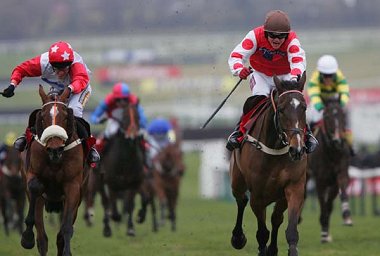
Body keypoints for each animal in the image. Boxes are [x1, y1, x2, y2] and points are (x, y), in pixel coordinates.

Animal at [20, 85, 87, 255]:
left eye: (65, 117)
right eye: (43, 117)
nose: (55, 149)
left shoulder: (73, 186)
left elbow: (66, 228)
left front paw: (67, 251)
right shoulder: (32, 176)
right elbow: (35, 186)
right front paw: (27, 237)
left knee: (59, 235)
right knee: (42, 238)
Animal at [98, 101, 145, 237]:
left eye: (138, 117)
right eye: (124, 118)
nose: (132, 138)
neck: (126, 160)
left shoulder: (134, 183)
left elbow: (130, 205)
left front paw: (130, 228)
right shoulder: (112, 184)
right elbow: (112, 206)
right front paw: (115, 218)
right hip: (99, 182)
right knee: (105, 202)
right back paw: (107, 228)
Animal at [229, 72, 308, 256]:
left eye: (304, 108)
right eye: (281, 109)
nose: (297, 149)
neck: (276, 147)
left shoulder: (294, 187)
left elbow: (290, 230)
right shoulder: (258, 195)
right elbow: (262, 233)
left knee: (276, 218)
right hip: (237, 180)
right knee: (241, 199)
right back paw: (238, 238)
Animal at [308, 93, 352, 242]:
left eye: (342, 115)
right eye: (326, 116)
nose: (338, 140)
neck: (332, 152)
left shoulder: (339, 174)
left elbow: (334, 200)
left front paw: (346, 214)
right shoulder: (320, 180)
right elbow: (322, 204)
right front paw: (324, 233)